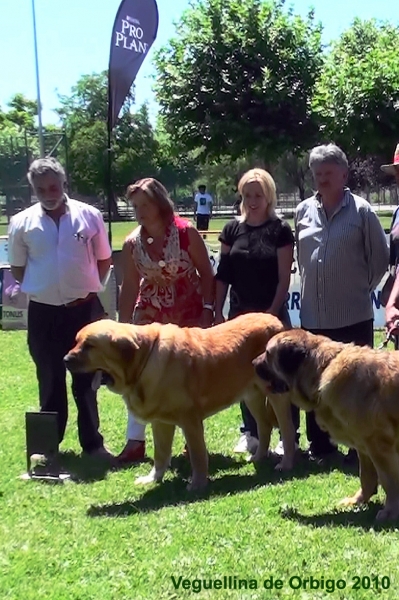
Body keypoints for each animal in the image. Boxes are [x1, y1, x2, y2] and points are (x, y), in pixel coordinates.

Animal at [65, 312, 296, 490]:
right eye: (76, 341)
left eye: (89, 346)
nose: (65, 360)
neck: (144, 357)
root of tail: (275, 321)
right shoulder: (161, 423)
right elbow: (160, 454)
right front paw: (152, 478)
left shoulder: (190, 420)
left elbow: (197, 455)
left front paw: (198, 484)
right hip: (252, 396)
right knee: (264, 426)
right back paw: (258, 457)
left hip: (276, 395)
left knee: (287, 430)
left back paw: (285, 463)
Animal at [255, 328, 399, 520]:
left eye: (268, 353)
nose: (252, 363)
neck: (323, 369)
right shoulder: (363, 445)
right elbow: (366, 477)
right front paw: (358, 500)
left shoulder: (378, 445)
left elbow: (389, 481)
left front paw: (390, 511)